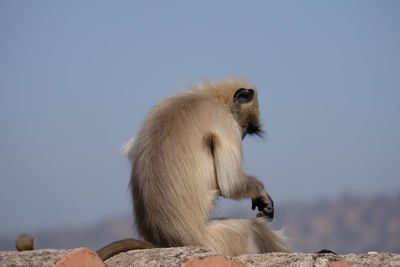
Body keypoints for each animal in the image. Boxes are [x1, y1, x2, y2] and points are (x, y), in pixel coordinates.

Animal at [96, 77, 290, 262]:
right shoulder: (223, 119)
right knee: (256, 231)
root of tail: (167, 241)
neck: (208, 96)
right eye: (245, 128)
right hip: (214, 239)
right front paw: (262, 195)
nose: (241, 135)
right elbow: (231, 184)